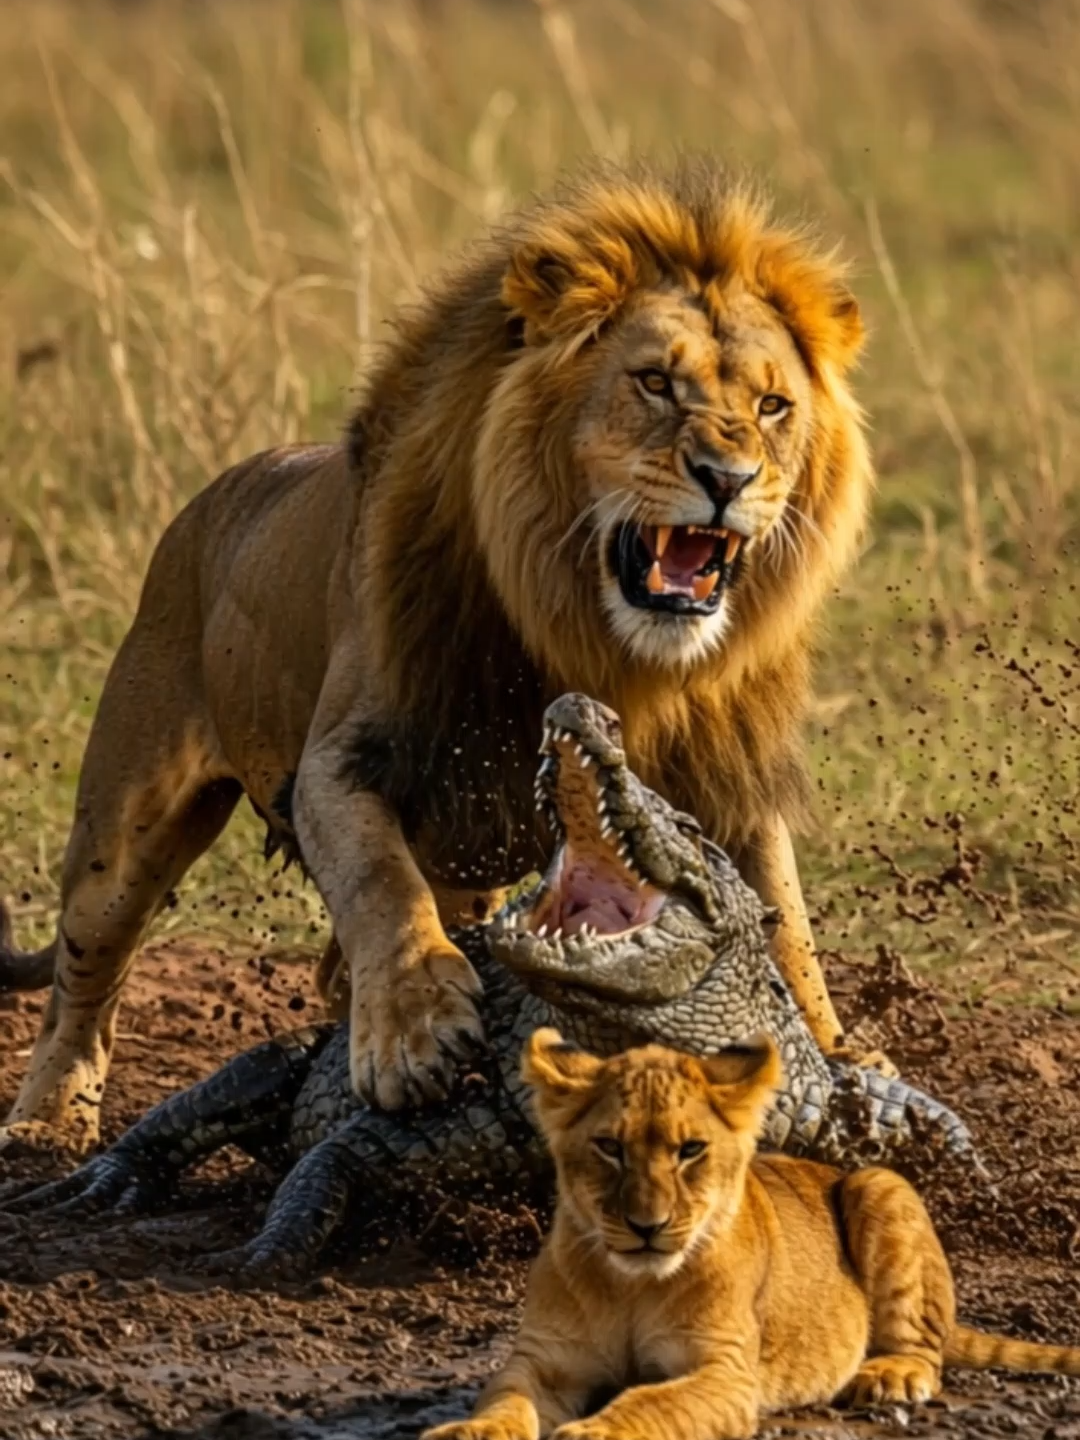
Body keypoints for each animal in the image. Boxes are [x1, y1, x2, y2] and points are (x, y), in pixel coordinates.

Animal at [1, 156, 874, 1154]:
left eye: (773, 406)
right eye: (654, 382)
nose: (729, 480)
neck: (600, 640)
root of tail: (213, 494)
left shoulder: (731, 776)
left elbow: (785, 922)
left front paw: (835, 1052)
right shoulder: (344, 761)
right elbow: (380, 886)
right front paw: (412, 1032)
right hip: (124, 828)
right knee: (85, 981)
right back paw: (47, 1123)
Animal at [422, 1031, 1080, 1440]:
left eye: (690, 1151)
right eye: (609, 1147)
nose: (646, 1226)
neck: (631, 1286)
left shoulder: (727, 1372)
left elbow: (651, 1401)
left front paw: (596, 1429)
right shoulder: (543, 1361)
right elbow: (506, 1399)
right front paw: (472, 1431)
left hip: (879, 1183)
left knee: (925, 1347)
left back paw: (889, 1375)